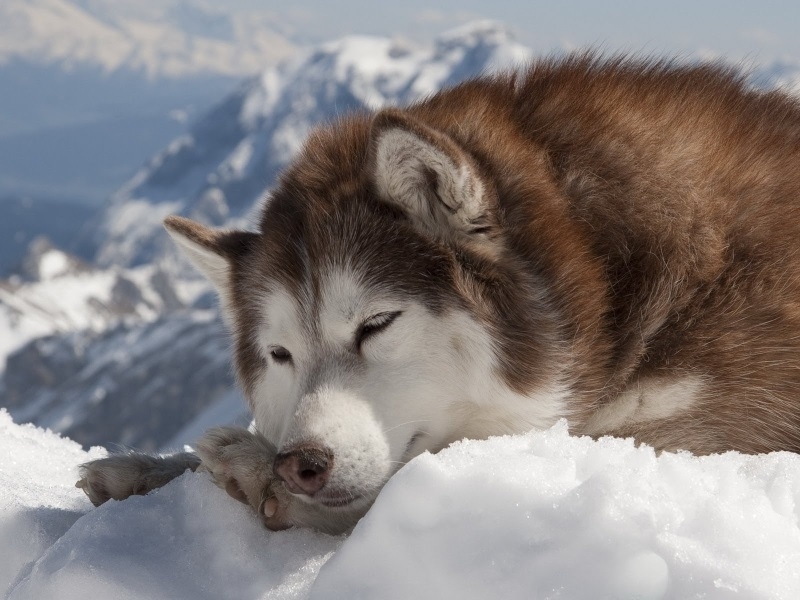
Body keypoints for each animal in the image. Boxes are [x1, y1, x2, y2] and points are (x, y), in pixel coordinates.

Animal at [78, 55, 800, 536]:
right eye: (280, 355)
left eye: (376, 324)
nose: (300, 465)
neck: (606, 275)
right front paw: (143, 469)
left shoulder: (705, 436)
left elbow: (410, 478)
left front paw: (250, 470)